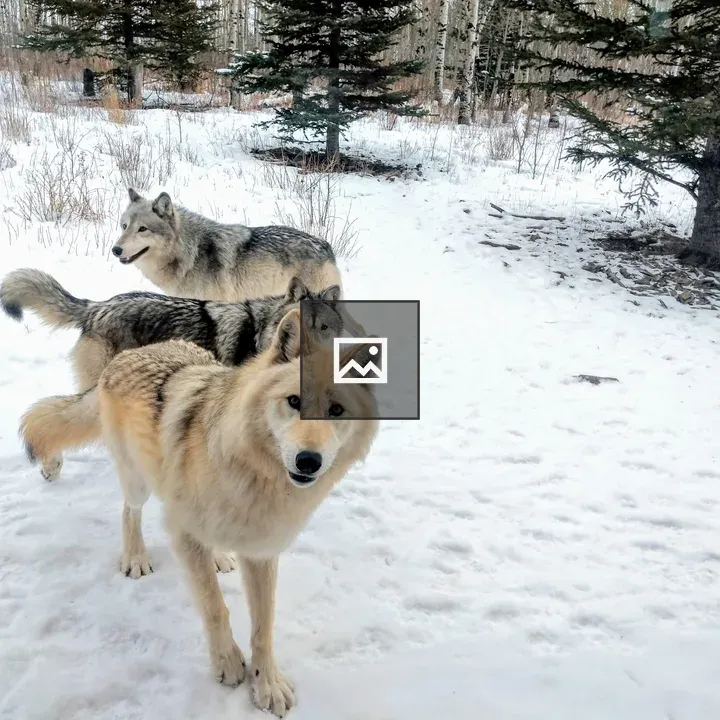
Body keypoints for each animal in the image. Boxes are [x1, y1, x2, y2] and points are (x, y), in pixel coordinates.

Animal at [94, 309, 378, 716]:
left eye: (336, 411)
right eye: (294, 400)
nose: (309, 461)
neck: (255, 478)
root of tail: (133, 353)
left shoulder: (261, 550)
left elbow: (264, 625)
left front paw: (266, 685)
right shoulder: (184, 534)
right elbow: (215, 607)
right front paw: (228, 663)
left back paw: (220, 556)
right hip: (138, 483)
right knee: (129, 512)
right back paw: (135, 558)